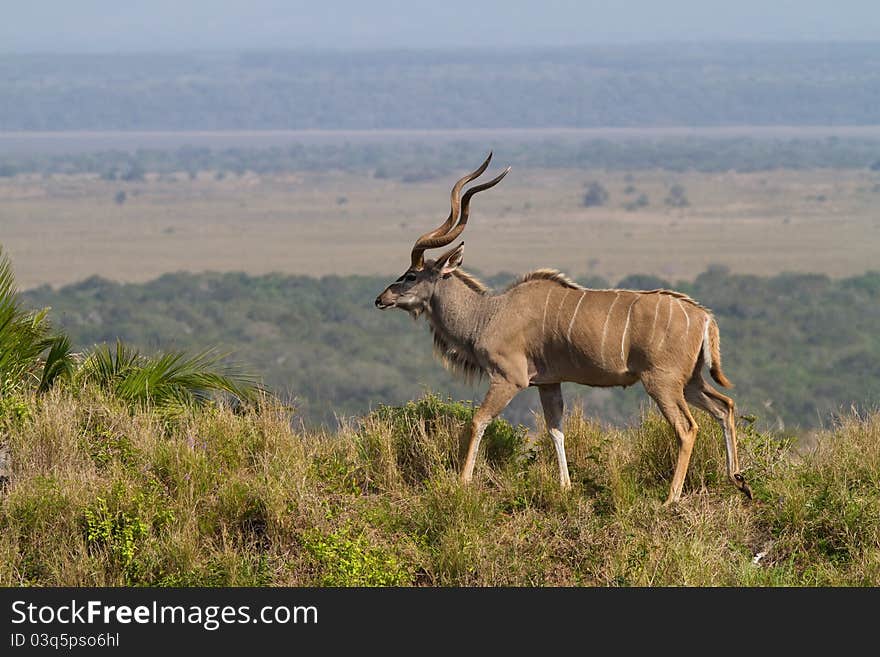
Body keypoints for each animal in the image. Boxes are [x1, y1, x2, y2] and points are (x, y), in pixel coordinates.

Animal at [374, 152, 752, 502]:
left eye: (411, 275)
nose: (381, 299)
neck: (489, 314)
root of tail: (704, 317)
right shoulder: (548, 382)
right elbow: (556, 429)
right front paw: (566, 486)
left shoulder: (509, 379)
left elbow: (479, 420)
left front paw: (463, 482)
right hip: (689, 381)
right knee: (725, 407)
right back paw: (739, 480)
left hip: (662, 382)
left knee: (687, 428)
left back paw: (671, 497)